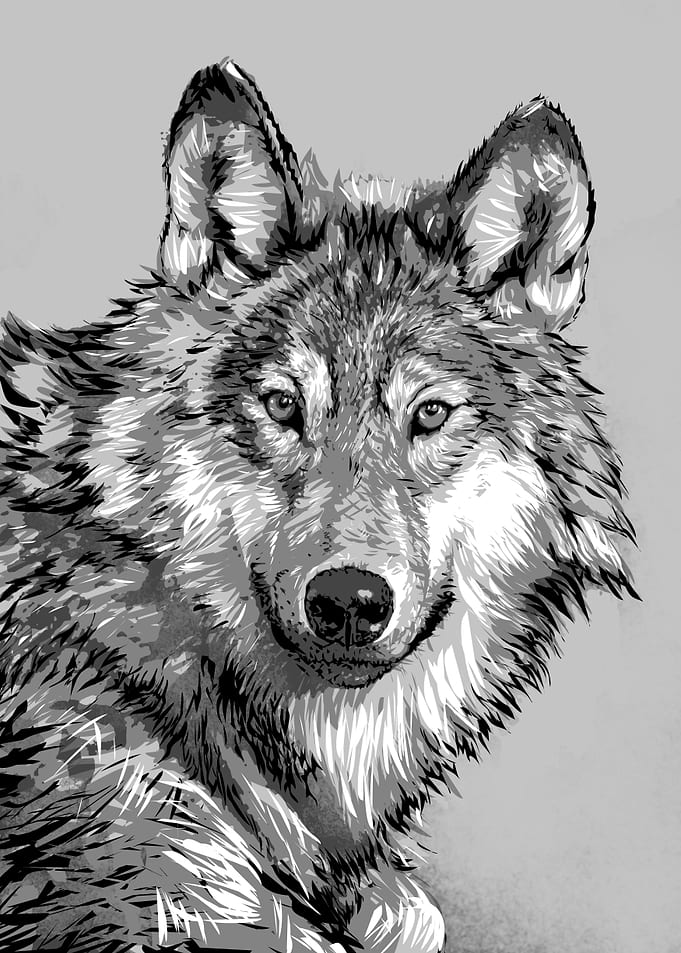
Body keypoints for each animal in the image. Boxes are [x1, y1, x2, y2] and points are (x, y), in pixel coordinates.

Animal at [0, 59, 635, 952]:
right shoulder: (169, 895)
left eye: (428, 414)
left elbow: (411, 916)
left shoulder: (395, 908)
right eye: (281, 406)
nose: (348, 602)